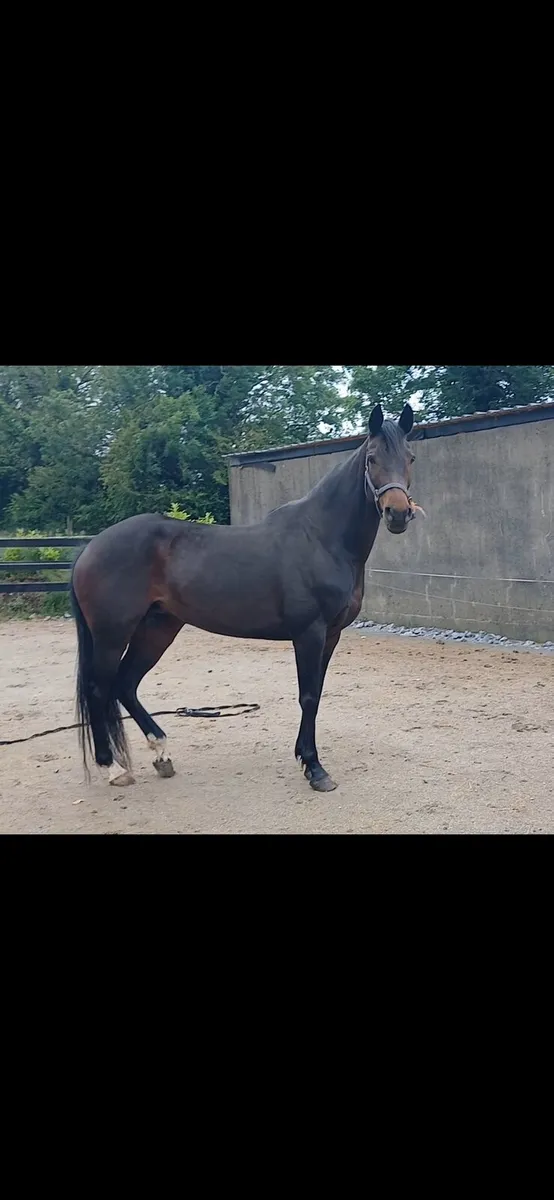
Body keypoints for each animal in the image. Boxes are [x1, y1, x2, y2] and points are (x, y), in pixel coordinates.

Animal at [71, 402, 421, 794]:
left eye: (410, 458)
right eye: (373, 458)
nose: (398, 513)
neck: (322, 538)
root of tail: (90, 548)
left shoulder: (331, 635)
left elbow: (316, 693)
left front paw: (304, 758)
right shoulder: (309, 633)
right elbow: (308, 695)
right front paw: (315, 768)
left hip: (157, 627)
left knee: (125, 685)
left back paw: (161, 755)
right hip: (112, 634)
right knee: (100, 689)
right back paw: (112, 767)